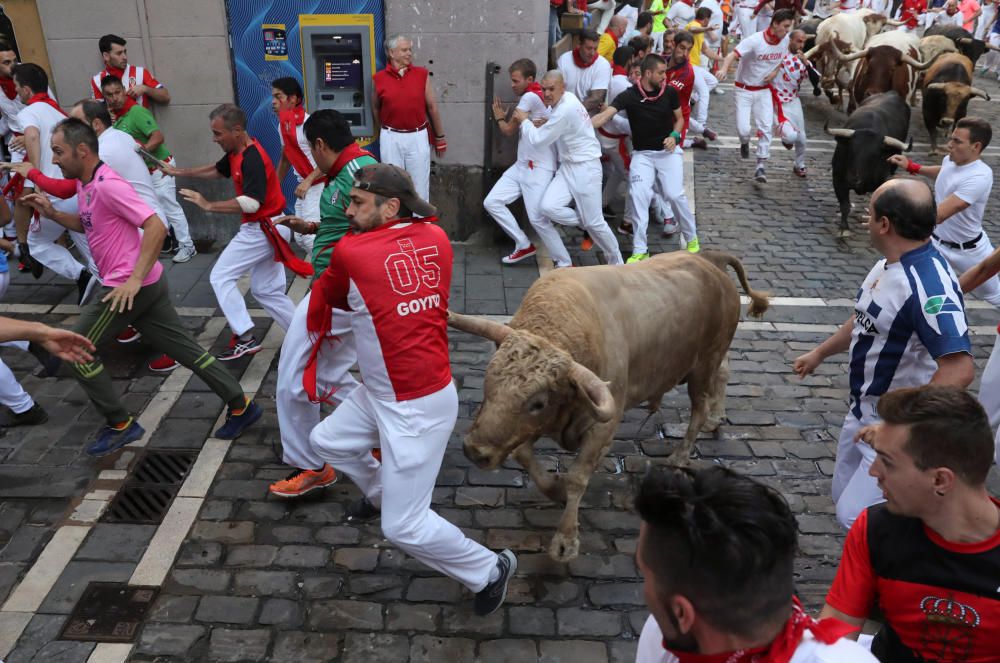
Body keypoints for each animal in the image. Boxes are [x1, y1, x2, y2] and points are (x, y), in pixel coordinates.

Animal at [446, 252, 764, 564]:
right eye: (488, 380)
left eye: (538, 402)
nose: (475, 451)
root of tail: (711, 262)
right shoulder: (532, 426)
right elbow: (523, 454)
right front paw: (555, 488)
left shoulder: (602, 425)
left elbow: (578, 477)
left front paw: (566, 540)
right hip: (711, 362)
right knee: (724, 372)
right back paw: (717, 417)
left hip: (703, 364)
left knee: (699, 408)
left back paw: (682, 453)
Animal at [824, 88, 912, 233]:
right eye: (851, 150)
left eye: (874, 156)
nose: (853, 179)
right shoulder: (837, 179)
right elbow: (845, 205)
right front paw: (844, 229)